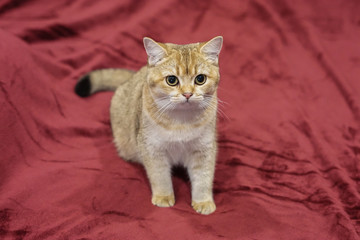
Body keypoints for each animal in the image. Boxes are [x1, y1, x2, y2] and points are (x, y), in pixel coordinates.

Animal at [74, 36, 222, 215]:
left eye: (200, 79)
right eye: (171, 80)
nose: (188, 94)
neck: (181, 121)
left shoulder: (204, 149)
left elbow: (203, 178)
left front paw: (203, 201)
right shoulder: (152, 149)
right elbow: (160, 176)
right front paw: (163, 196)